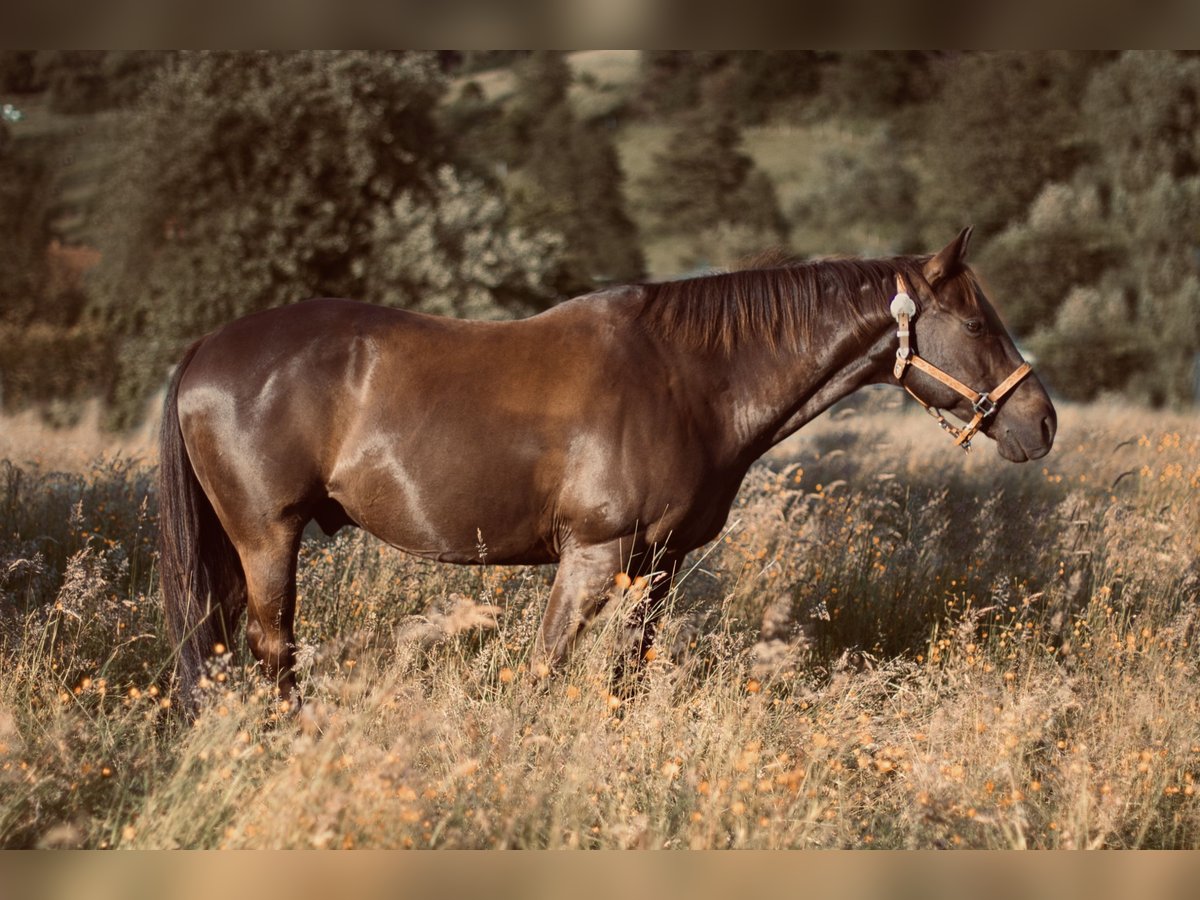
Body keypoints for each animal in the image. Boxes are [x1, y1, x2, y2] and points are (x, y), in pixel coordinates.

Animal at [159, 227, 1056, 705]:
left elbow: (624, 674)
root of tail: (205, 347)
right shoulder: (593, 557)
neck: (688, 375)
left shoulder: (656, 565)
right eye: (976, 323)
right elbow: (546, 668)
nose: (1040, 422)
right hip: (267, 539)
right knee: (272, 648)